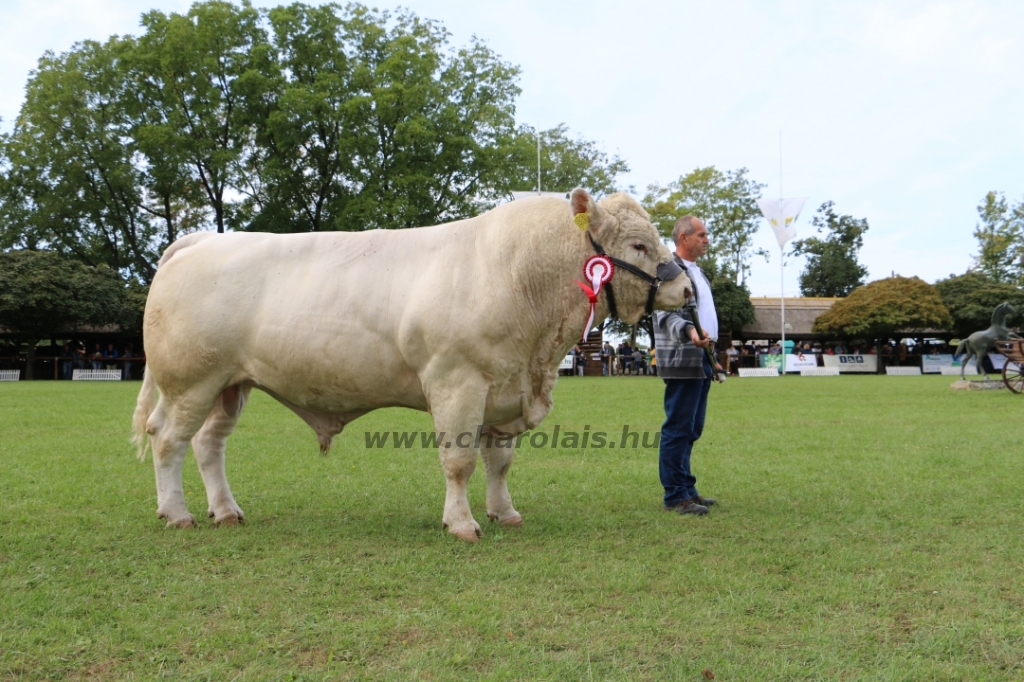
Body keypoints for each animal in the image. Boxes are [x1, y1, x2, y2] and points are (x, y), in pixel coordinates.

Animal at [130, 188, 688, 540]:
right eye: (639, 244)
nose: (684, 288)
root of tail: (203, 239)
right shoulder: (457, 382)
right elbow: (459, 461)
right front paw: (462, 523)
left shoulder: (505, 388)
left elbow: (500, 462)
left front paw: (505, 512)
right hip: (189, 381)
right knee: (169, 440)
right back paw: (177, 514)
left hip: (230, 384)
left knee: (209, 444)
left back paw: (225, 511)